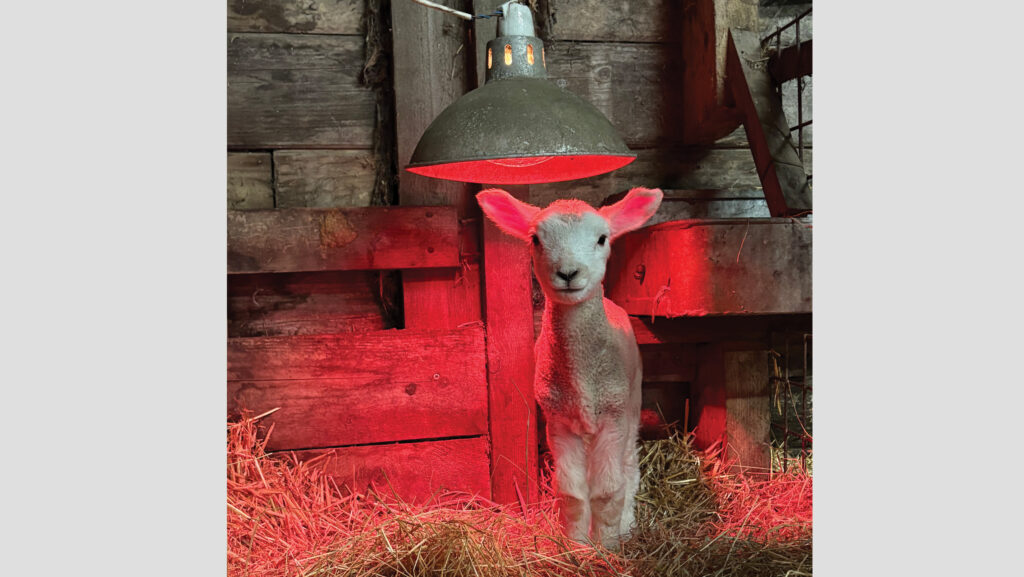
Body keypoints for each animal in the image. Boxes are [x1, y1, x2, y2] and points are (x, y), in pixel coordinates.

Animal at [476, 187, 663, 550]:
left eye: (602, 238)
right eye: (535, 239)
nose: (568, 273)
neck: (581, 378)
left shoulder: (613, 419)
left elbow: (607, 492)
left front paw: (606, 546)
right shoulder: (559, 422)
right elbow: (573, 495)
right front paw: (576, 545)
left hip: (631, 403)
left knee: (629, 467)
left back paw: (627, 523)